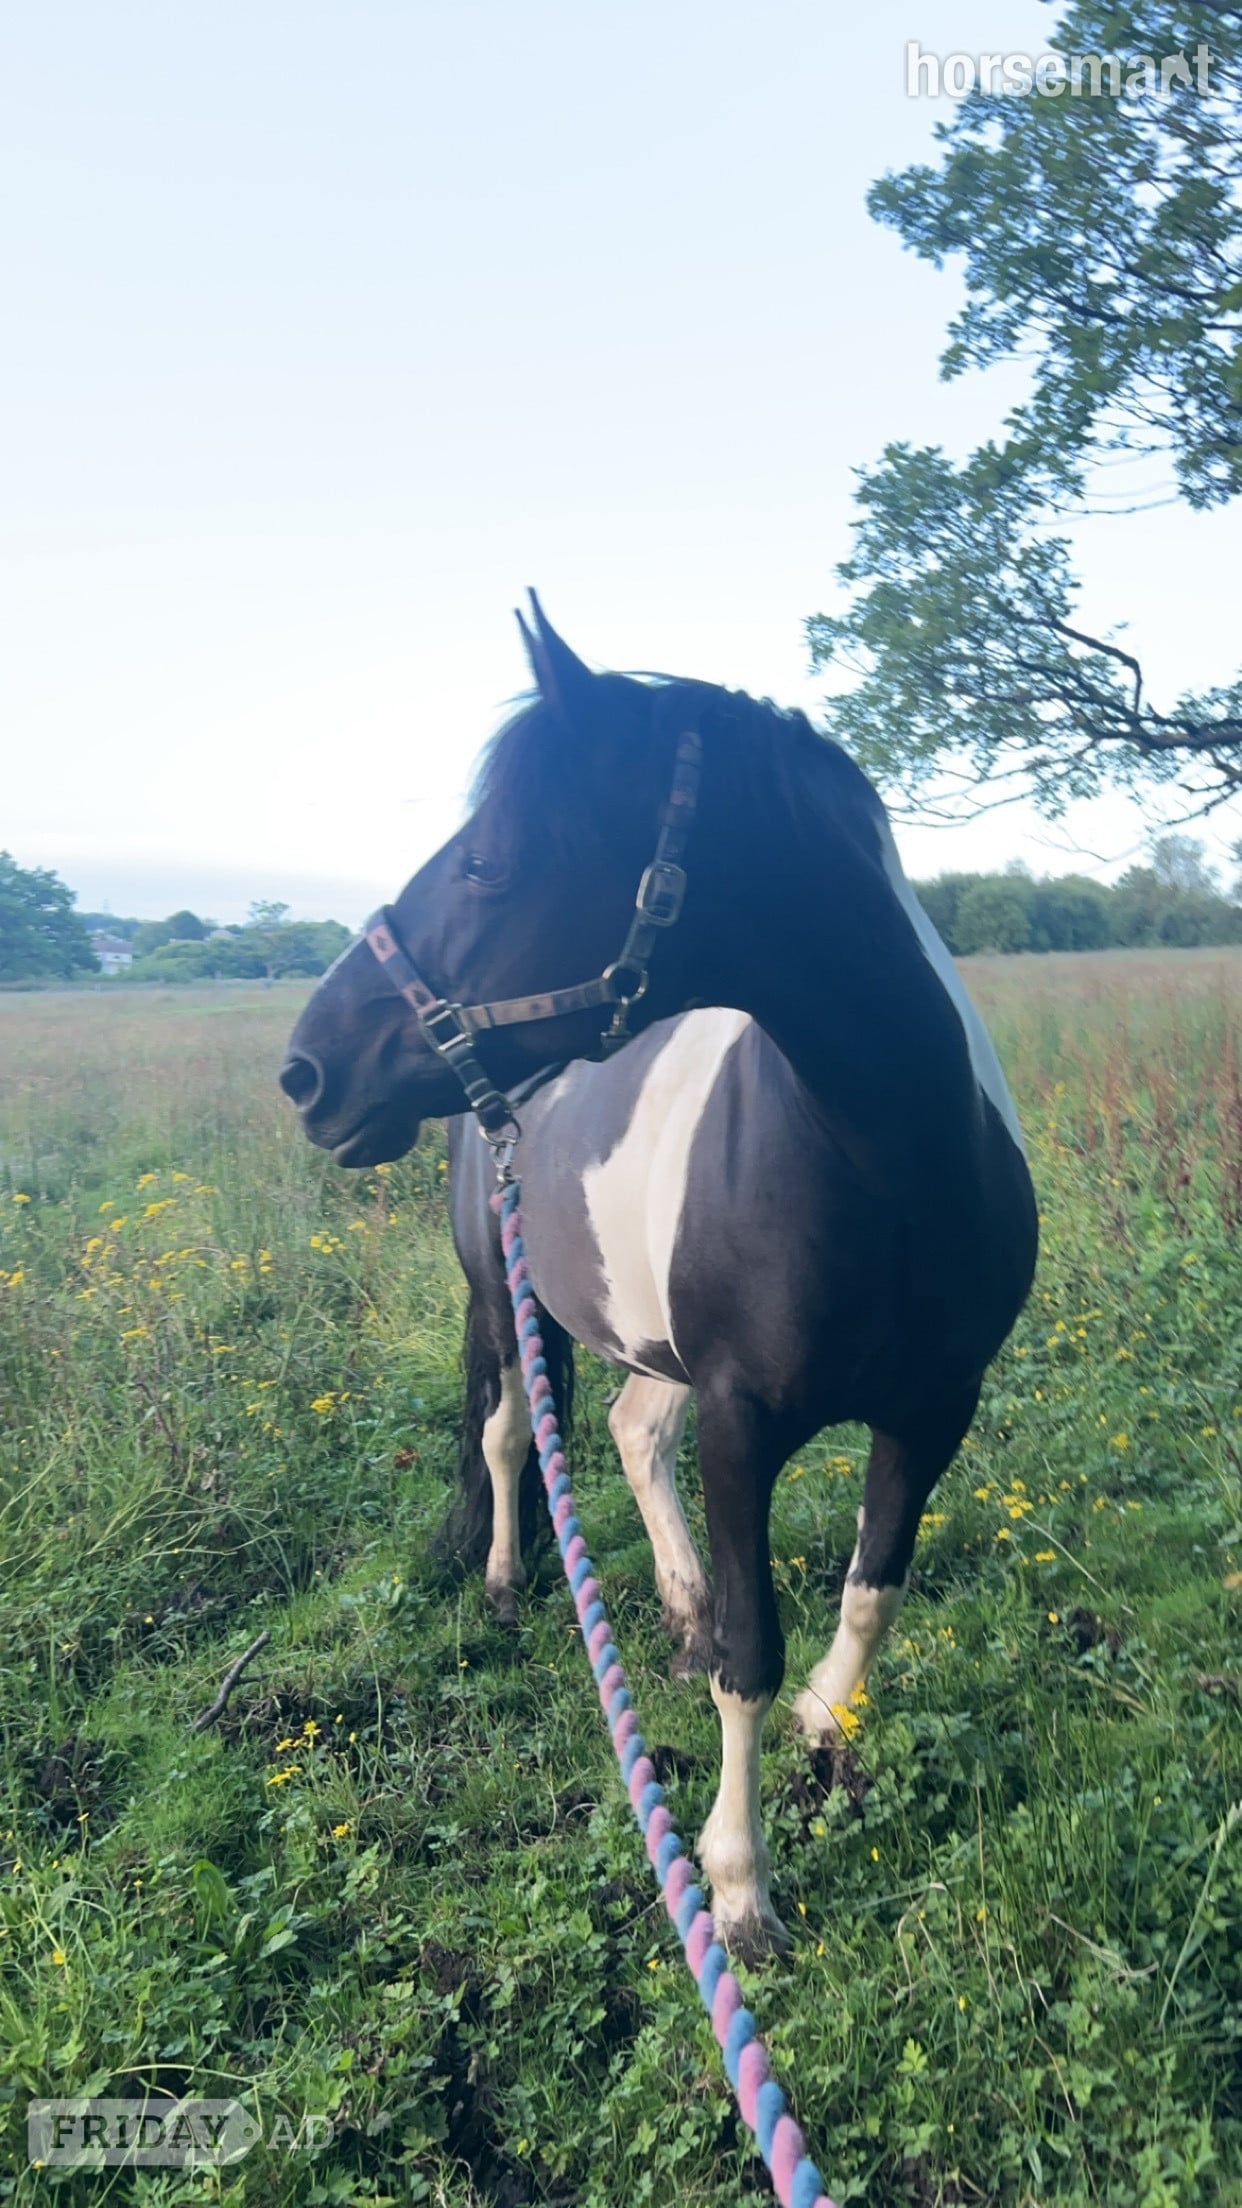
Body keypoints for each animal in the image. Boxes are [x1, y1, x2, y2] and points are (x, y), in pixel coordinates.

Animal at [280, 595, 1037, 1959]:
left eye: (487, 863)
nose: (310, 1070)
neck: (886, 1159)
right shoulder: (744, 1424)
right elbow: (753, 1652)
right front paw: (738, 1890)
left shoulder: (934, 1408)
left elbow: (868, 1598)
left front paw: (827, 1733)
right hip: (510, 1306)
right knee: (512, 1437)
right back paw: (508, 1584)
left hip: (648, 1340)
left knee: (635, 1432)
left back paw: (674, 1614)